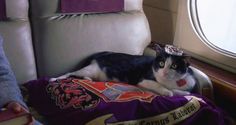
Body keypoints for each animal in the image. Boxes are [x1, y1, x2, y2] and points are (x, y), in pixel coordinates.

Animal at [50, 45, 196, 96]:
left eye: (174, 66)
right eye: (161, 63)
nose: (165, 72)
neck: (169, 82)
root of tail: (99, 54)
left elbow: (182, 92)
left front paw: (181, 92)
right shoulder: (143, 80)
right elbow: (158, 85)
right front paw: (167, 92)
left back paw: (88, 80)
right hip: (90, 69)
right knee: (70, 73)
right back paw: (54, 78)